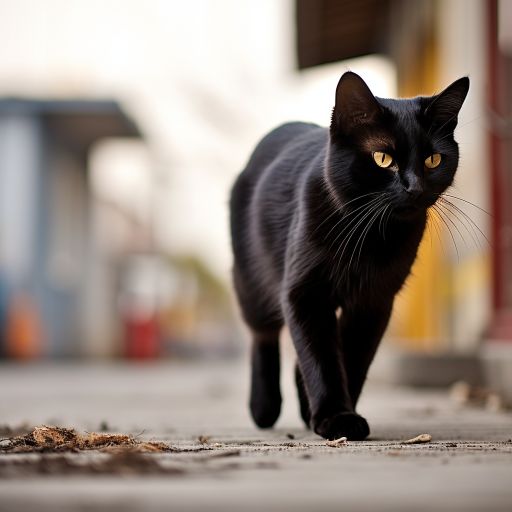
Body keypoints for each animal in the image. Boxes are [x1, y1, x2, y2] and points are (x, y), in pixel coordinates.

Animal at [230, 72, 470, 440]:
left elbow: (352, 355)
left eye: (433, 160)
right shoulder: (305, 294)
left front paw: (337, 415)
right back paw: (264, 407)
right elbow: (322, 356)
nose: (415, 187)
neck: (369, 236)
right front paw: (336, 417)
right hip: (251, 281)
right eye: (383, 158)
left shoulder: (374, 300)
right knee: (263, 334)